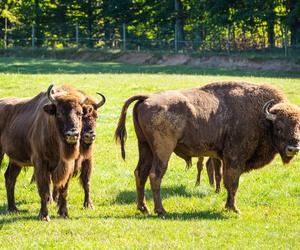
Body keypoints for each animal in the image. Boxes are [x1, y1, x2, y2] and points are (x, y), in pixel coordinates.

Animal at [1, 85, 87, 221]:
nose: (72, 134)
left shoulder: (68, 165)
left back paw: (13, 208)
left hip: (15, 161)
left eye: (80, 113)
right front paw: (44, 216)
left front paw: (64, 214)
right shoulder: (40, 164)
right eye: (59, 113)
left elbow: (64, 190)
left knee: (10, 178)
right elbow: (44, 191)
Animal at [115, 81, 300, 216]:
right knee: (155, 175)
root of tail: (147, 97)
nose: (293, 148)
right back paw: (160, 210)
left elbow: (227, 181)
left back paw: (143, 208)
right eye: (279, 127)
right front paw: (234, 209)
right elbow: (232, 183)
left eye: (298, 126)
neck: (262, 118)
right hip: (162, 151)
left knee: (140, 173)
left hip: (145, 146)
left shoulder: (225, 158)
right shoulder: (235, 158)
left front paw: (228, 206)